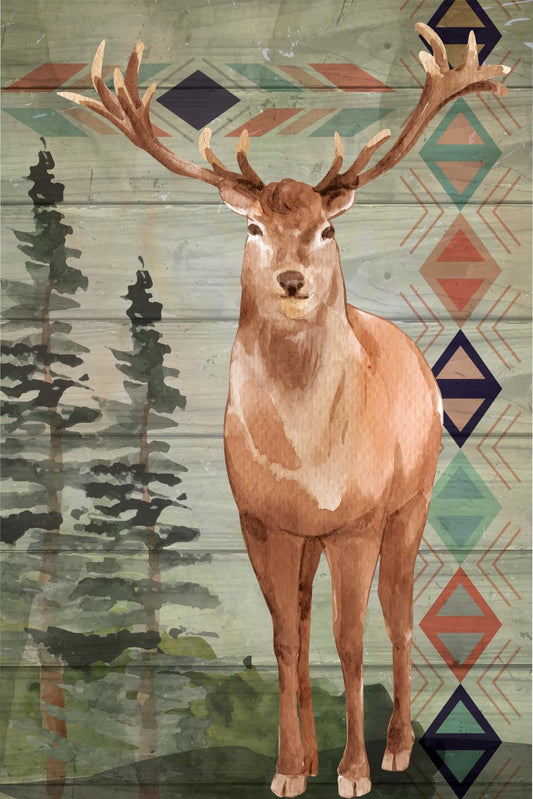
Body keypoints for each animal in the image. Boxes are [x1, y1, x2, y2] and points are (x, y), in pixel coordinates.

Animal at [58, 25, 509, 798]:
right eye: (252, 229)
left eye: (326, 231)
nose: (292, 280)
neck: (309, 459)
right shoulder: (260, 518)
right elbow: (284, 640)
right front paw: (289, 769)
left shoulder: (357, 517)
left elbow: (350, 640)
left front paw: (354, 771)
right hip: (312, 538)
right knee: (303, 619)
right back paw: (314, 755)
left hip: (412, 499)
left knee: (399, 615)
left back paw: (396, 746)